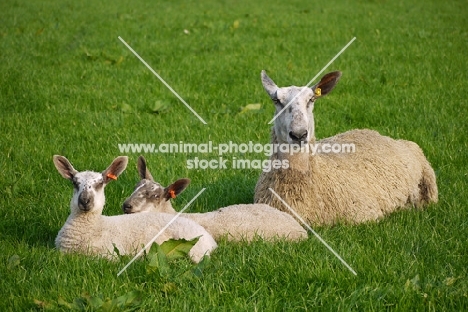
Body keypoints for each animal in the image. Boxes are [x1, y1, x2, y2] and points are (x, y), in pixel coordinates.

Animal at [53, 155, 218, 262]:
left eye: (100, 184)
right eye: (75, 183)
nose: (85, 201)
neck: (97, 225)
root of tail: (211, 240)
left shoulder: (108, 254)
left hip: (195, 251)